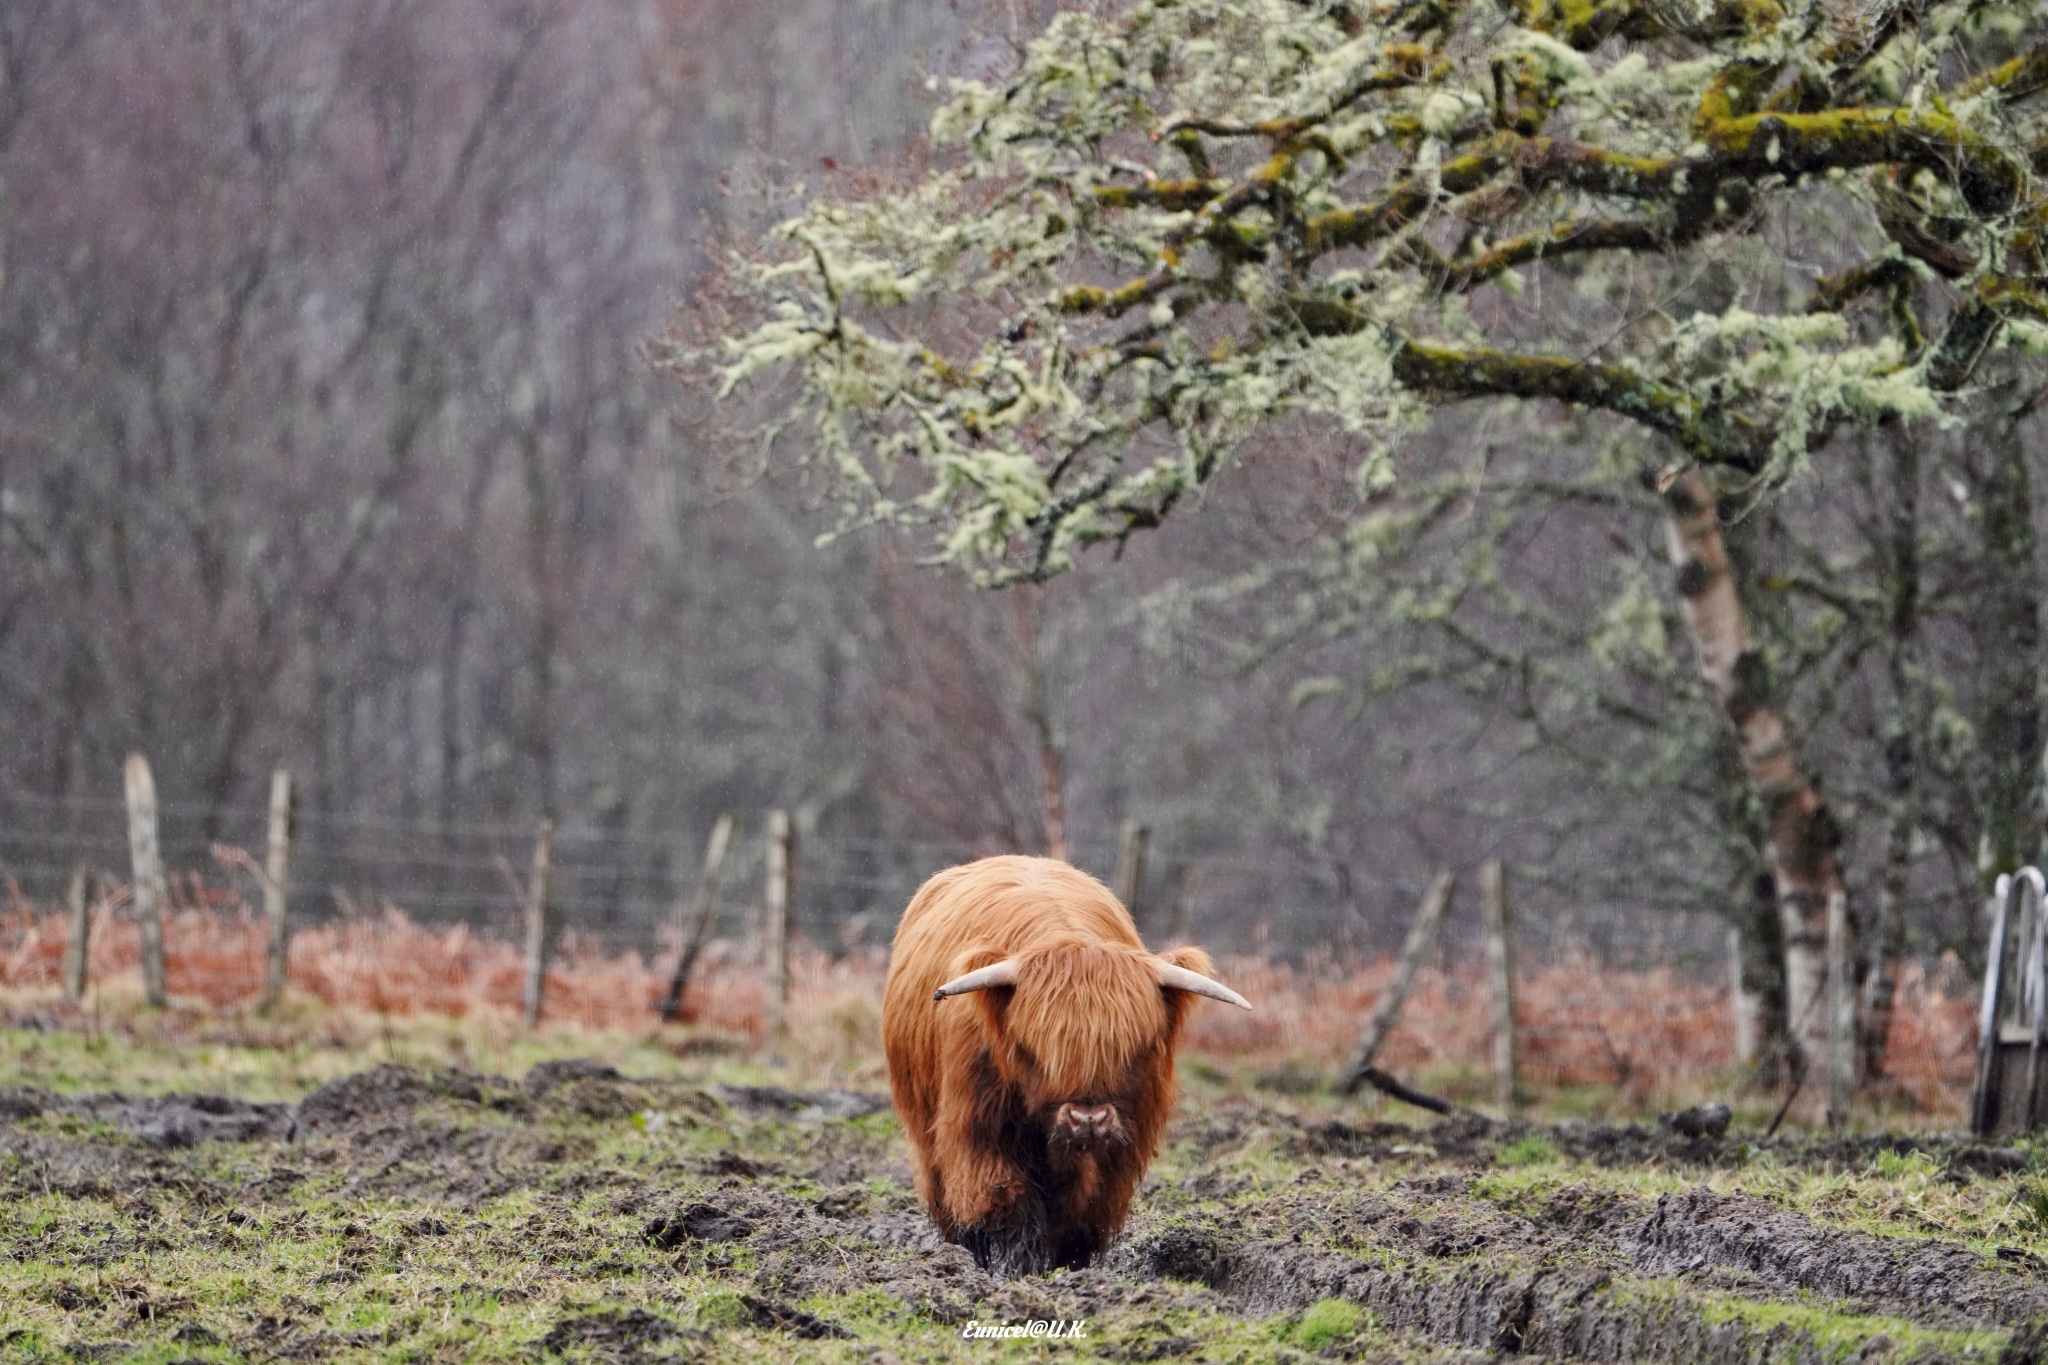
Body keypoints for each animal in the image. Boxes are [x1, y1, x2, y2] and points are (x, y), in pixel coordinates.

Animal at [880, 859, 1245, 1277]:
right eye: (1032, 1049)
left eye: (1134, 1049)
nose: (1088, 1119)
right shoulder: (977, 1125)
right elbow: (1002, 1197)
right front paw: (1017, 1269)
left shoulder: (1121, 1149)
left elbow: (1085, 1211)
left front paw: (1068, 1267)